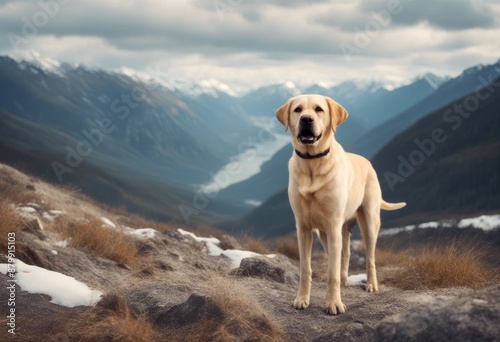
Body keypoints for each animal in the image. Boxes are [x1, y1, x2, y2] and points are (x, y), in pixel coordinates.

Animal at [278, 94, 406, 316]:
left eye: (319, 109)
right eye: (298, 109)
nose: (306, 119)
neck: (313, 164)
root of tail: (368, 162)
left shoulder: (332, 226)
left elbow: (332, 273)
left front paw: (333, 304)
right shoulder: (303, 228)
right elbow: (306, 269)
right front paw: (302, 299)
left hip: (368, 222)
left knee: (370, 257)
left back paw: (371, 285)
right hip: (327, 233)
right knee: (344, 254)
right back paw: (346, 280)